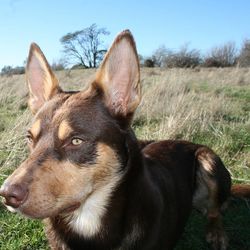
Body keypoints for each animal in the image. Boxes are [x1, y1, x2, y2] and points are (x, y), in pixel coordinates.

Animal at [0, 30, 250, 249]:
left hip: (208, 160)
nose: (7, 195)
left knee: (215, 210)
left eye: (76, 141)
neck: (88, 218)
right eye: (30, 138)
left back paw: (217, 233)